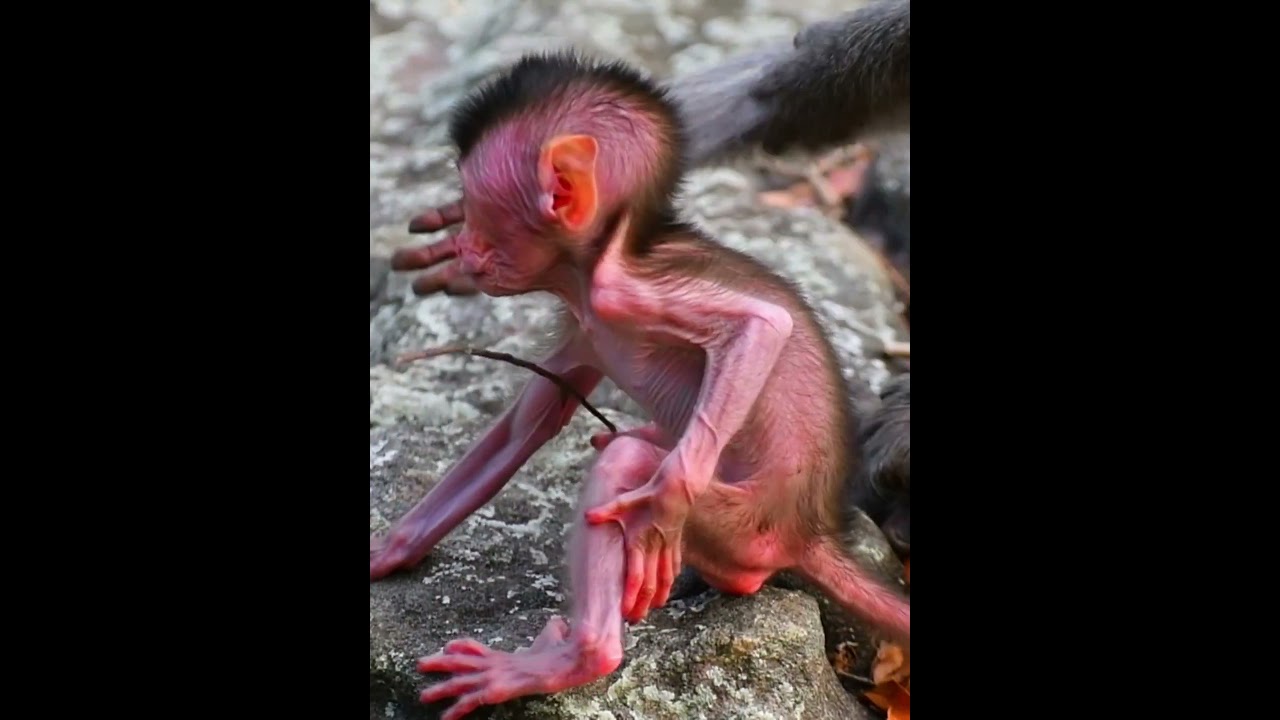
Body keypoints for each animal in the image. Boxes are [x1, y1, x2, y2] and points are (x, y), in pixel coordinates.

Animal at [370, 51, 910, 719]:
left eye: (474, 211)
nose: (464, 250)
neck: (595, 264)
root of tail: (805, 533)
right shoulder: (584, 328)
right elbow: (526, 426)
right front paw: (389, 551)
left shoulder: (623, 294)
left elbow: (762, 326)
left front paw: (664, 503)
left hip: (742, 526)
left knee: (627, 462)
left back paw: (576, 658)